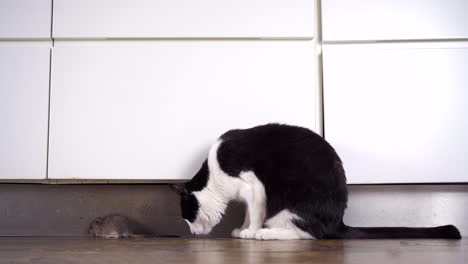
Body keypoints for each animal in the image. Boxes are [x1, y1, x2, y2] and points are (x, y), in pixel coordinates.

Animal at [171, 124, 460, 239]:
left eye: (187, 216)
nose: (191, 233)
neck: (214, 178)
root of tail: (338, 222)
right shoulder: (248, 194)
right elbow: (247, 213)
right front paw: (241, 228)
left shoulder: (254, 187)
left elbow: (255, 212)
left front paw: (250, 231)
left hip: (288, 205)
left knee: (308, 234)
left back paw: (265, 233)